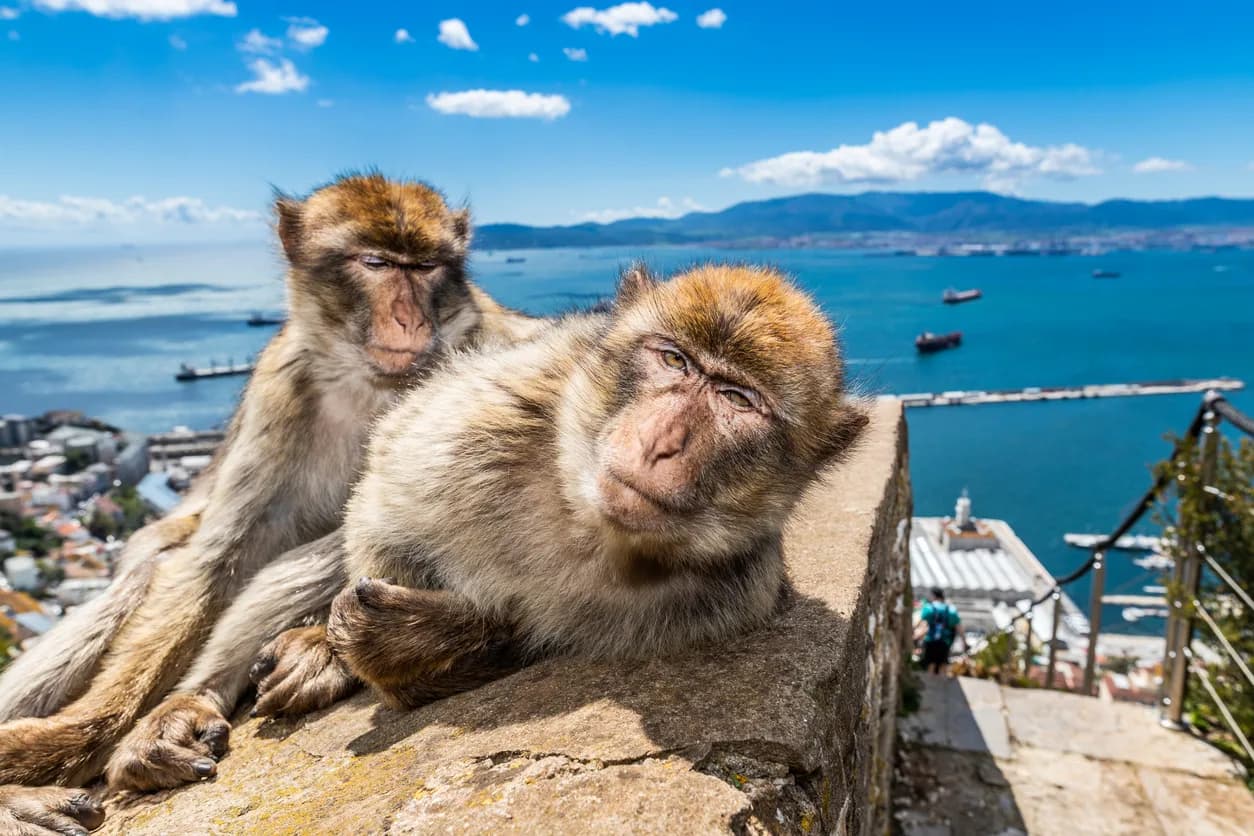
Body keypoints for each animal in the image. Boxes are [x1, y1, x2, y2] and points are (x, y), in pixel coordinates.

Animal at [0, 173, 543, 822]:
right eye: (377, 264)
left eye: (427, 267)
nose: (409, 319)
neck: (366, 382)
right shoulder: (279, 389)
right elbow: (214, 557)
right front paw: (74, 735)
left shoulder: (496, 350)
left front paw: (340, 648)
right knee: (157, 565)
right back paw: (188, 704)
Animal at [257, 263, 868, 717]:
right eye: (674, 359)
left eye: (737, 399)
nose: (660, 441)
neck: (587, 523)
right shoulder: (476, 421)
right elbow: (380, 512)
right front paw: (346, 643)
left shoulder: (733, 596)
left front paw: (405, 643)